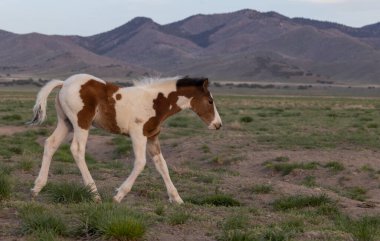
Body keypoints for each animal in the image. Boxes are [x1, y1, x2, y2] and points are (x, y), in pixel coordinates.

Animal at [29, 74, 223, 203]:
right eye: (210, 101)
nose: (218, 124)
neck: (156, 102)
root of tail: (64, 83)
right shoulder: (138, 134)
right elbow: (140, 163)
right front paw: (118, 195)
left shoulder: (152, 137)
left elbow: (162, 165)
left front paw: (177, 199)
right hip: (81, 123)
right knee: (77, 149)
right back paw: (94, 193)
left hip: (66, 123)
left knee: (50, 144)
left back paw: (37, 188)